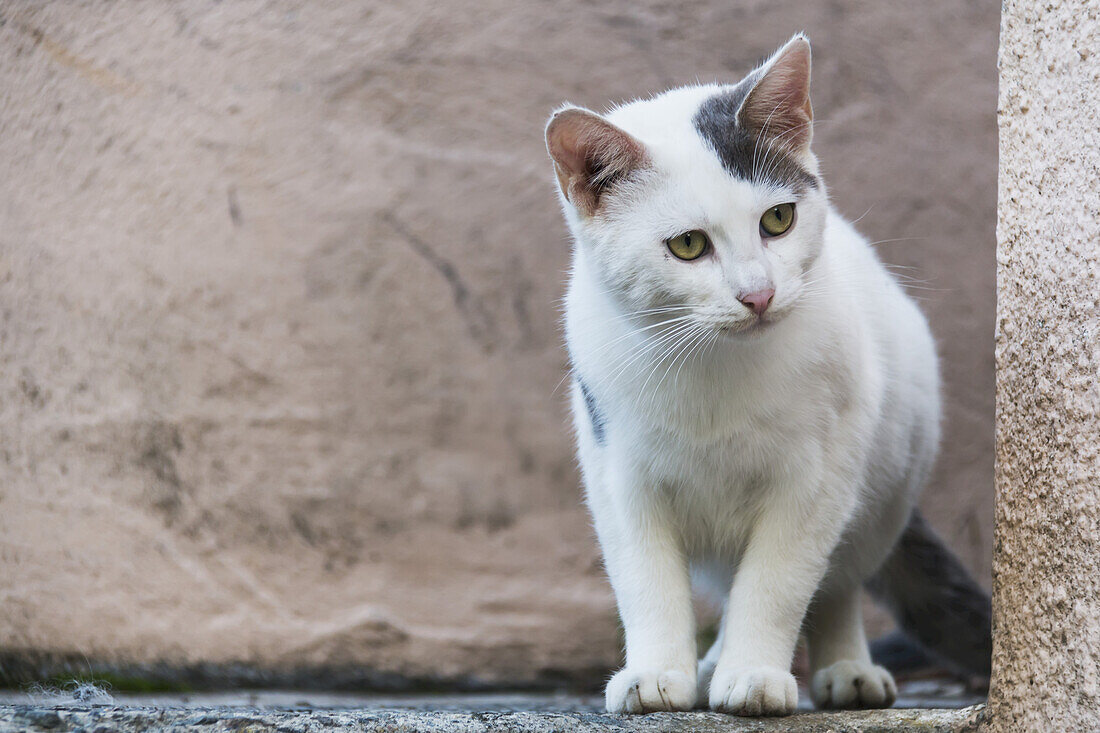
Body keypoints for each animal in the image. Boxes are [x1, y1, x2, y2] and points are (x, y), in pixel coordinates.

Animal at [545, 34, 994, 713]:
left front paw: (754, 673)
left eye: (778, 220)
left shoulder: (817, 478)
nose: (758, 294)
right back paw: (708, 665)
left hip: (885, 481)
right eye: (687, 246)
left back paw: (844, 669)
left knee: (836, 582)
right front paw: (657, 671)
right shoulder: (617, 470)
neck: (712, 364)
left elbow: (779, 581)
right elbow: (644, 578)